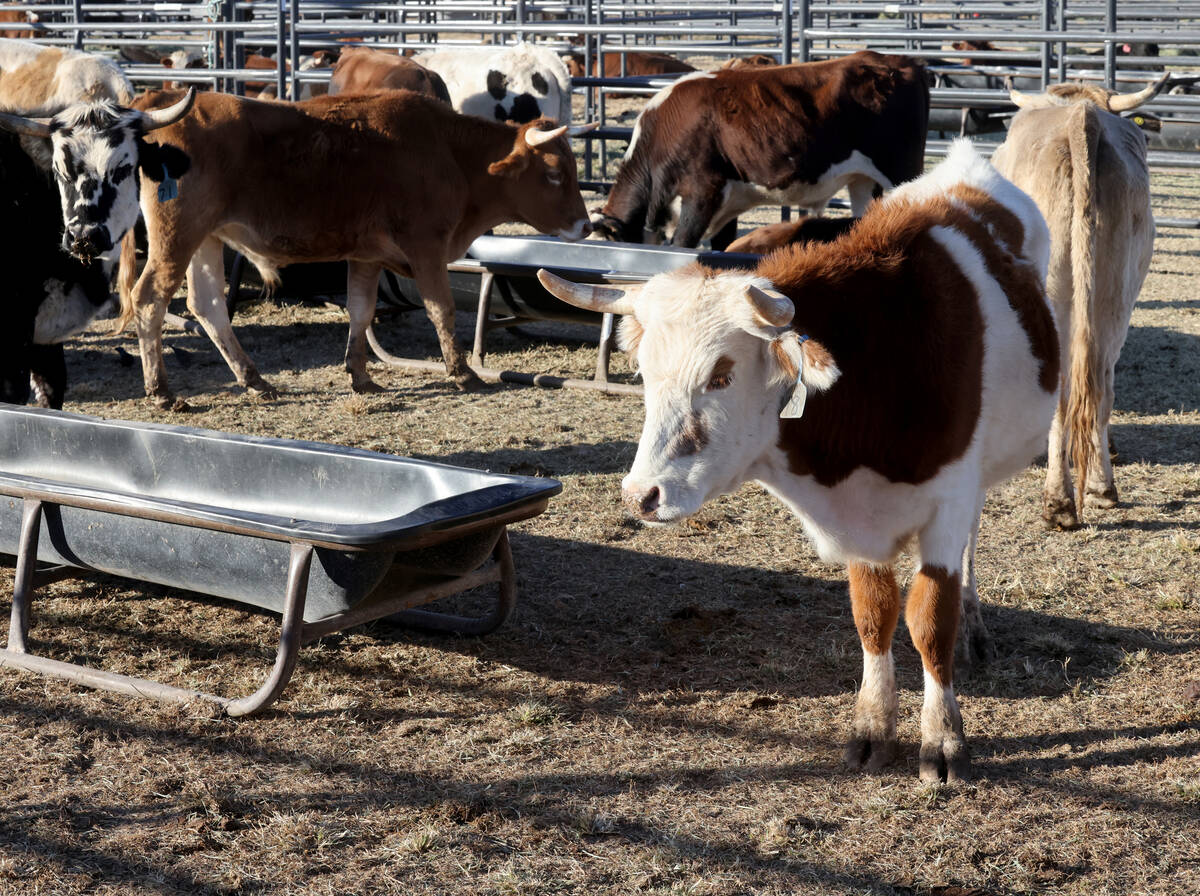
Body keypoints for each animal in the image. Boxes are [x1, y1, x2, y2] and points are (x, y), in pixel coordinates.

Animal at [96, 87, 592, 410]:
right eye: (553, 173)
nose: (586, 227)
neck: (448, 152)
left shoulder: (366, 256)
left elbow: (361, 310)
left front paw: (361, 374)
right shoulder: (426, 246)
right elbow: (442, 309)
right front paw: (462, 372)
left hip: (206, 238)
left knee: (208, 306)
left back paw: (255, 379)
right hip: (177, 238)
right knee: (150, 299)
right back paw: (162, 392)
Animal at [544, 136, 1060, 782]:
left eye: (722, 374)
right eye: (643, 371)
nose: (642, 496)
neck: (879, 366)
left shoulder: (947, 499)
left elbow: (929, 620)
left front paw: (943, 738)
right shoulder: (860, 523)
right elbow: (875, 613)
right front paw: (872, 727)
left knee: (972, 542)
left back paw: (975, 626)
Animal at [590, 51, 926, 250]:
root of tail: (899, 61)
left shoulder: (702, 194)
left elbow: (681, 248)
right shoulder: (726, 205)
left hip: (901, 173)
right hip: (864, 183)